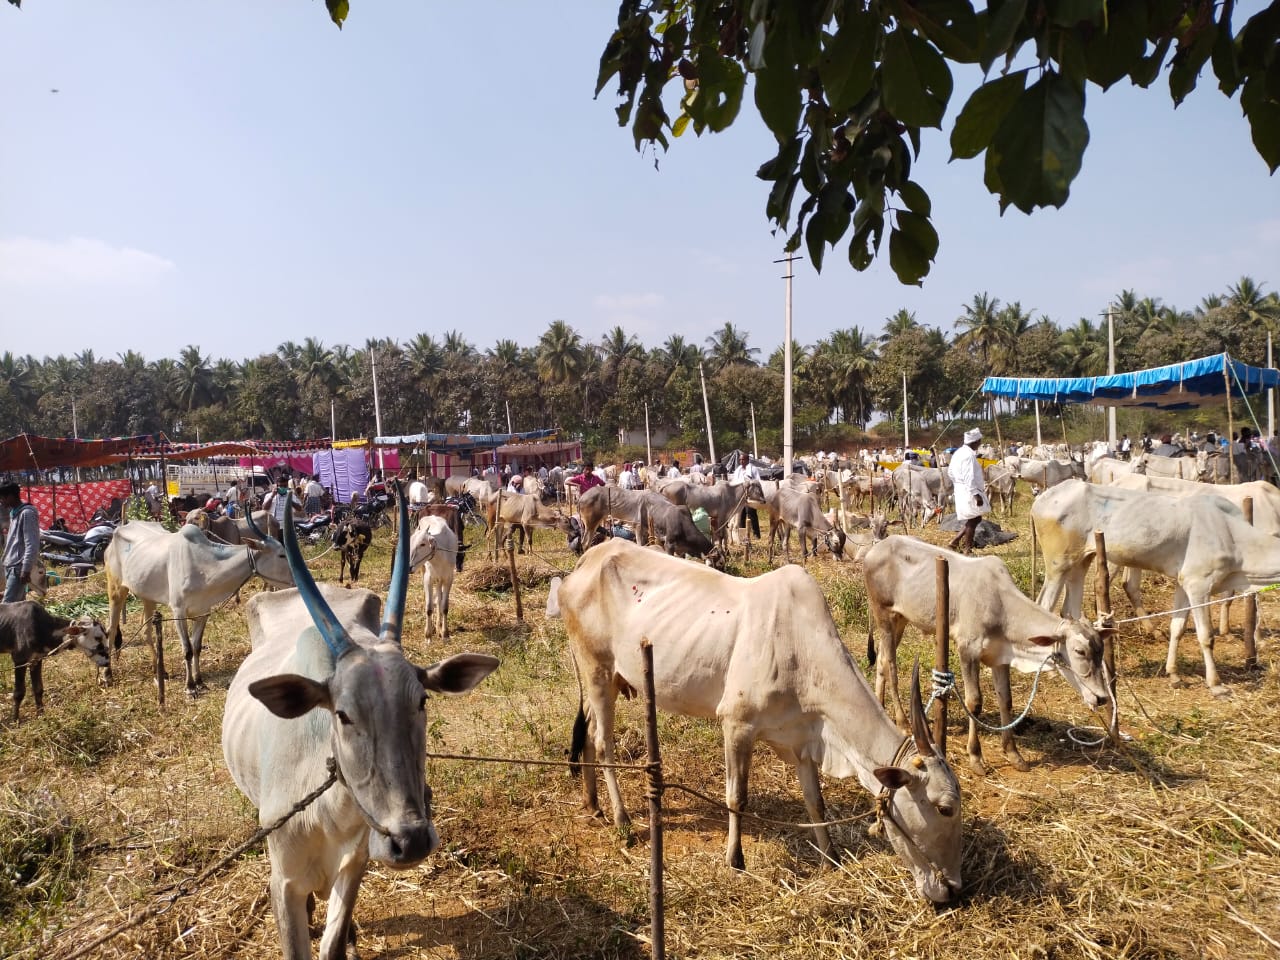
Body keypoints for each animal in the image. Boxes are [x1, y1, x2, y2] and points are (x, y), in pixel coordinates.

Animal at [105, 514, 294, 696]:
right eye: (281, 555)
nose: (295, 580)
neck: (205, 565)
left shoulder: (203, 612)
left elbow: (196, 647)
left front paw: (199, 681)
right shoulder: (178, 611)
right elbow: (187, 649)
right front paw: (189, 687)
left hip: (148, 597)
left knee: (147, 631)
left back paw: (159, 671)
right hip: (116, 589)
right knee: (111, 630)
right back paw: (107, 675)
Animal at [409, 514, 460, 642]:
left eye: (422, 544)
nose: (409, 567)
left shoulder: (448, 579)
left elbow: (444, 606)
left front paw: (445, 633)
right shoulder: (428, 579)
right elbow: (429, 607)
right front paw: (428, 635)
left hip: (440, 580)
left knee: (439, 600)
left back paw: (439, 626)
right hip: (425, 572)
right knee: (432, 600)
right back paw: (433, 627)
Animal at [558, 542, 962, 901]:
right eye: (944, 808)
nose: (954, 888)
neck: (801, 650)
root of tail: (585, 562)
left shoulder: (800, 740)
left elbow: (815, 802)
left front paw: (830, 857)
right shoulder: (736, 725)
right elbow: (737, 796)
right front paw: (735, 860)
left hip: (607, 679)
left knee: (589, 734)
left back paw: (592, 804)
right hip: (597, 669)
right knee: (604, 742)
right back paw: (622, 819)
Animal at [1029, 483, 1280, 696]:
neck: (1232, 535)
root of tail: (1042, 499)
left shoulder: (1183, 583)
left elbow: (1177, 627)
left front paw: (1174, 674)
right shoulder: (1199, 585)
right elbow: (1206, 636)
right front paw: (1216, 684)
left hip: (1081, 562)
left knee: (1068, 610)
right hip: (1058, 565)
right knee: (1044, 605)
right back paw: (1049, 669)